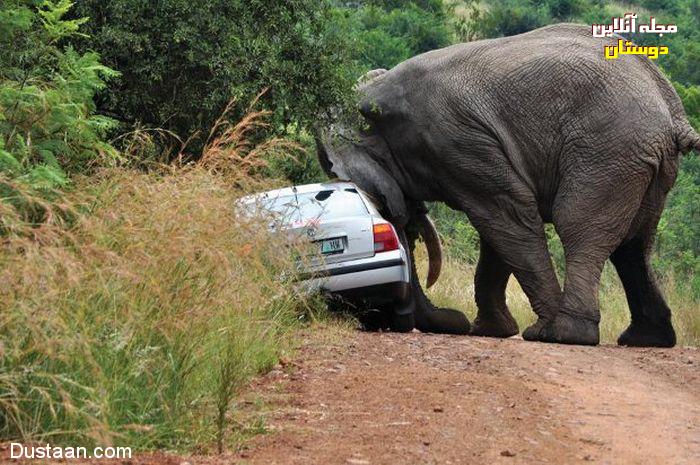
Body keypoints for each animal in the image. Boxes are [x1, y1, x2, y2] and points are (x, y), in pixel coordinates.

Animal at [318, 23, 700, 346]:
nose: (450, 321)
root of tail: (672, 113)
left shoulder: (456, 139)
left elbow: (506, 218)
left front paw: (526, 330)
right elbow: (498, 230)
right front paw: (490, 331)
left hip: (608, 148)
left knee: (578, 224)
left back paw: (561, 334)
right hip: (644, 160)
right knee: (635, 244)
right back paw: (645, 339)